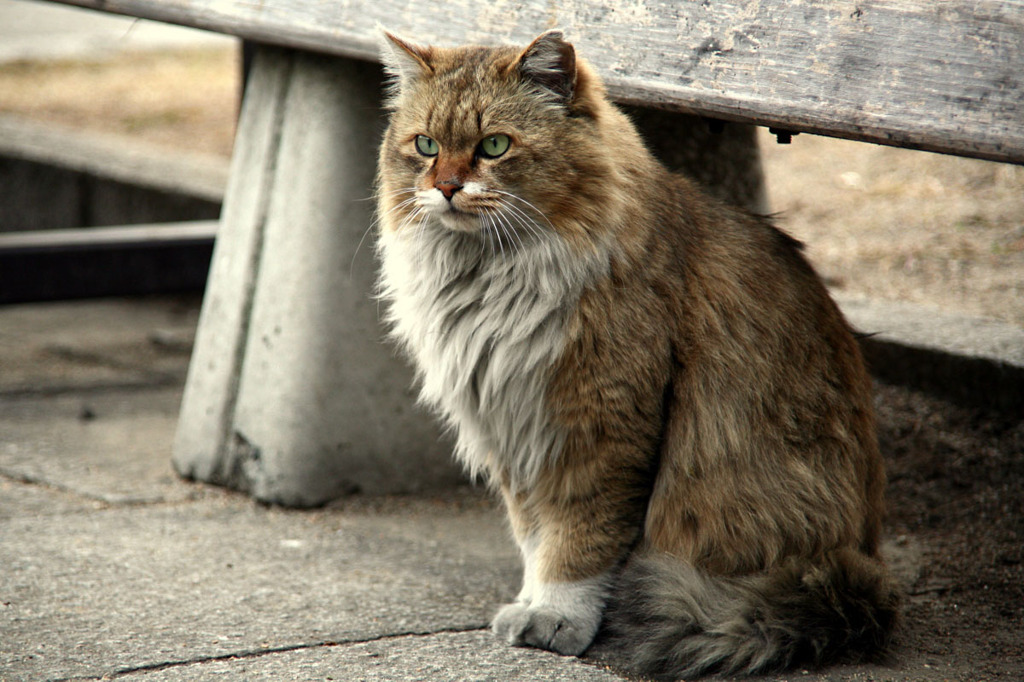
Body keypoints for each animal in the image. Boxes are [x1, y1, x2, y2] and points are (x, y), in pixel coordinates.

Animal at [374, 29, 897, 675]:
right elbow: (534, 535)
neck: (488, 280)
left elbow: (577, 542)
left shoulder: (602, 427)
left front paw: (555, 617)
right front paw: (530, 600)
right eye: (425, 146)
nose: (444, 187)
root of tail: (860, 577)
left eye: (494, 146)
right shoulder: (511, 431)